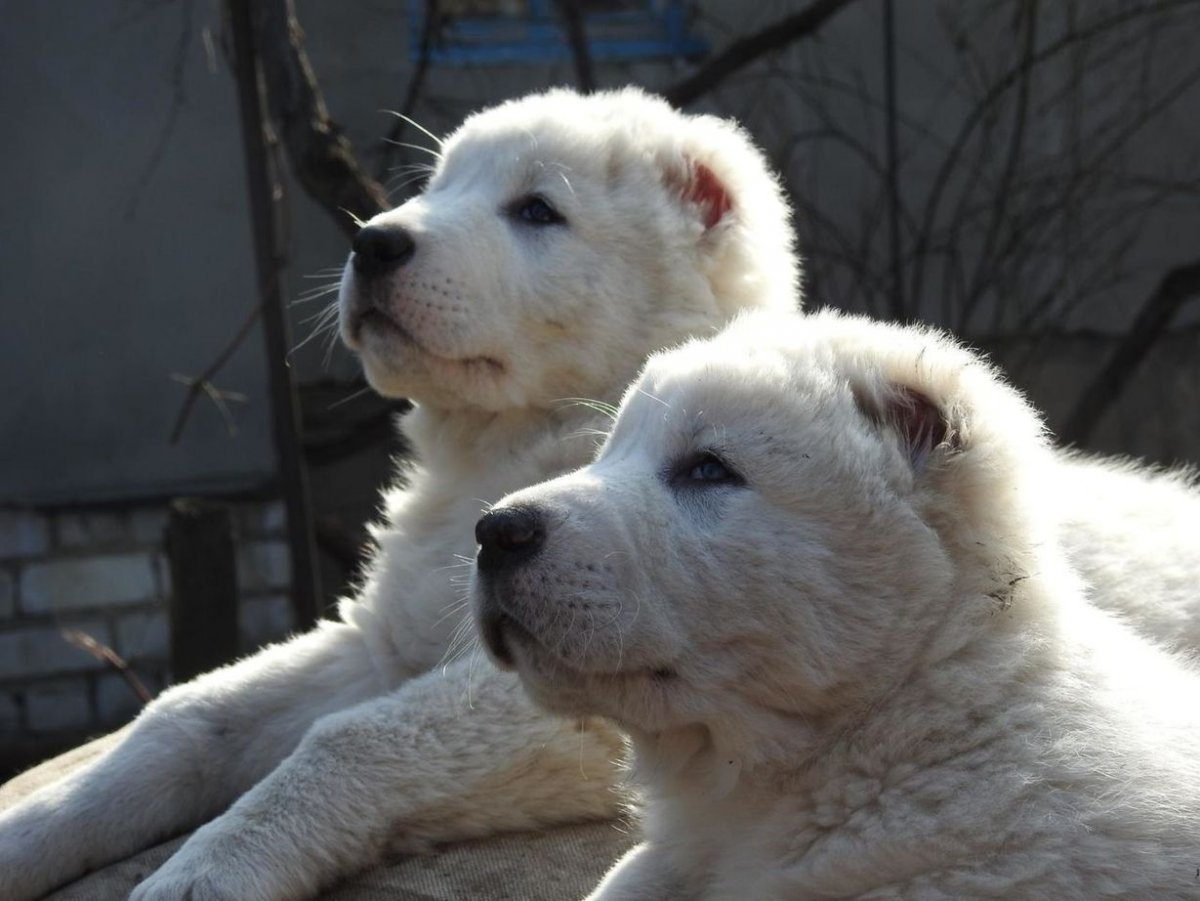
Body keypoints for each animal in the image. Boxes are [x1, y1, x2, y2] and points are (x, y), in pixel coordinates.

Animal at [0, 89, 796, 901]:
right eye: (436, 186)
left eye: (537, 210)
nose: (374, 241)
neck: (501, 448)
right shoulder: (381, 642)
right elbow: (187, 712)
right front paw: (23, 831)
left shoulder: (583, 686)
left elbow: (355, 735)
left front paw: (206, 870)